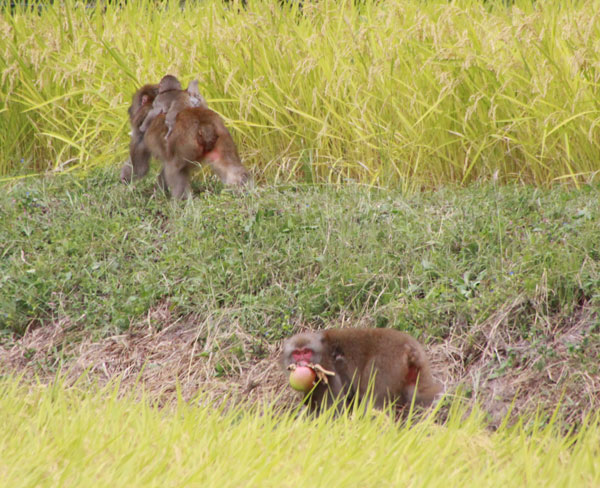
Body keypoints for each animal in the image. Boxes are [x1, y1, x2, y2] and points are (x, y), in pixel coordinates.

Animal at [122, 84, 251, 198]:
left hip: (184, 144)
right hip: (221, 137)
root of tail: (204, 123)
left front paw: (125, 180)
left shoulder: (140, 130)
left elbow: (140, 168)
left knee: (174, 169)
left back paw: (180, 202)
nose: (128, 109)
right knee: (231, 169)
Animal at [280, 328, 440, 412]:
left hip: (385, 364)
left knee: (372, 399)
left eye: (306, 352)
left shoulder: (328, 373)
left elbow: (334, 409)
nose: (301, 363)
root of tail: (409, 347)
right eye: (297, 353)